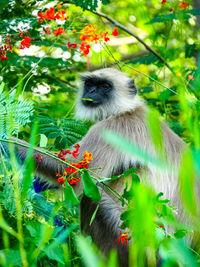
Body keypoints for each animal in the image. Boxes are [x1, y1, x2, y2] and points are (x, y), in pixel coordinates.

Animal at [0, 68, 195, 266]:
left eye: (105, 86)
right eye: (90, 84)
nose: (92, 92)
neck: (127, 109)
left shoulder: (114, 128)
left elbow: (73, 174)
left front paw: (6, 141)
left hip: (136, 246)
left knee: (92, 198)